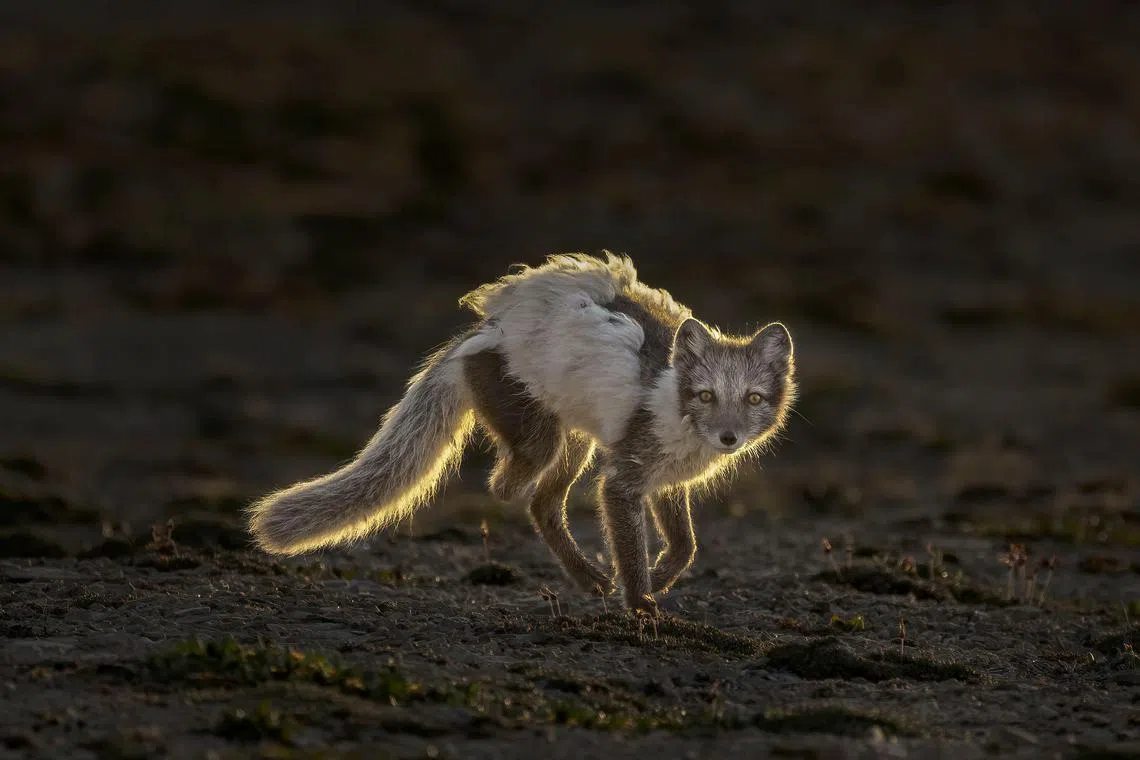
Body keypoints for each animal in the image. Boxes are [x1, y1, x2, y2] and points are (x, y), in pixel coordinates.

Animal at [246, 252, 796, 615]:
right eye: (705, 395)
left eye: (753, 399)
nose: (728, 439)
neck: (675, 409)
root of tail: (487, 330)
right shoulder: (623, 480)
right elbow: (632, 544)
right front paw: (640, 601)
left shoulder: (664, 481)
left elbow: (685, 546)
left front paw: (658, 577)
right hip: (544, 439)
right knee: (509, 486)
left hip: (573, 442)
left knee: (542, 503)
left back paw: (588, 578)